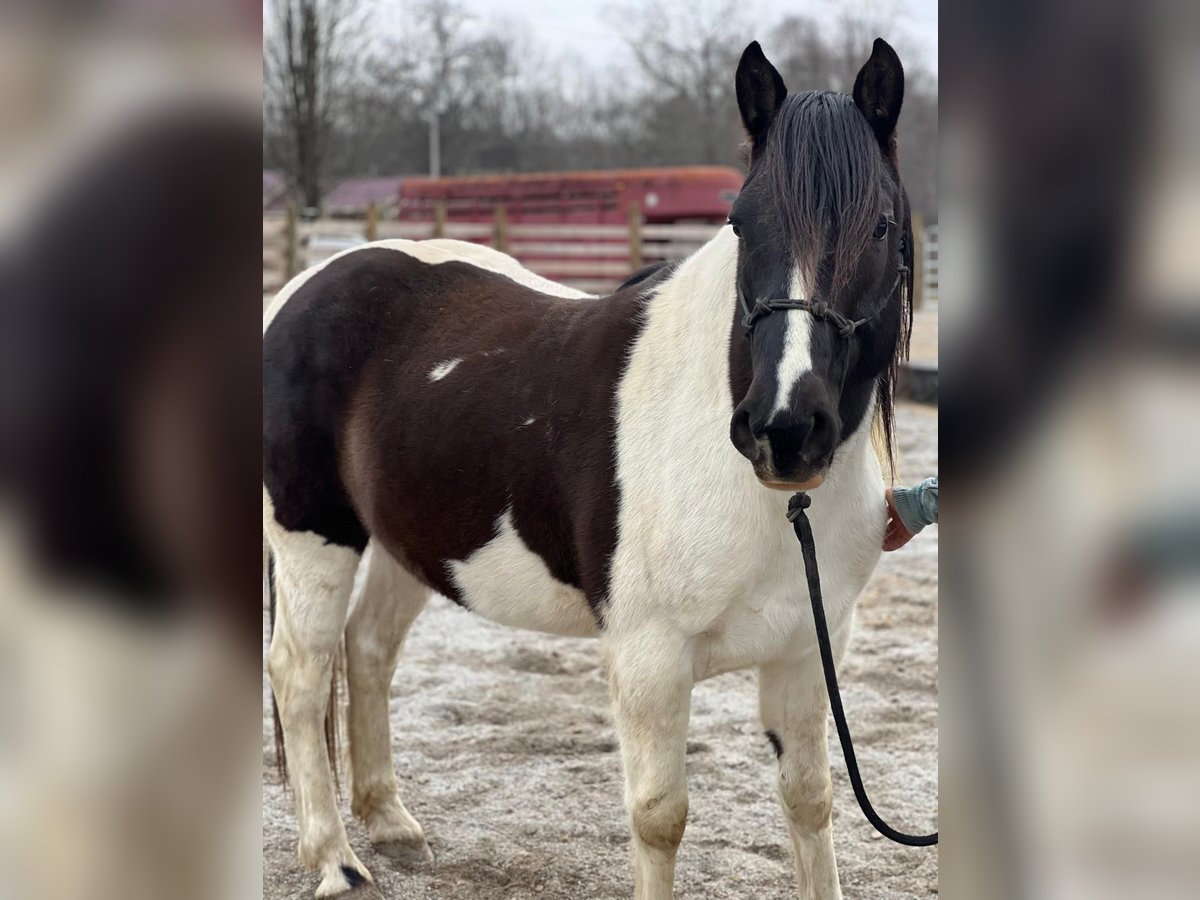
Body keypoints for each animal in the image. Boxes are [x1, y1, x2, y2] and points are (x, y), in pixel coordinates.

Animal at [265, 38, 907, 897]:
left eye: (881, 226)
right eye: (741, 223)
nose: (784, 428)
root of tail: (303, 288)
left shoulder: (807, 649)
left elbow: (810, 800)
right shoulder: (650, 659)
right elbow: (661, 818)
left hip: (409, 541)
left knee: (367, 652)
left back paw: (391, 824)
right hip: (313, 537)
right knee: (300, 677)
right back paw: (335, 859)